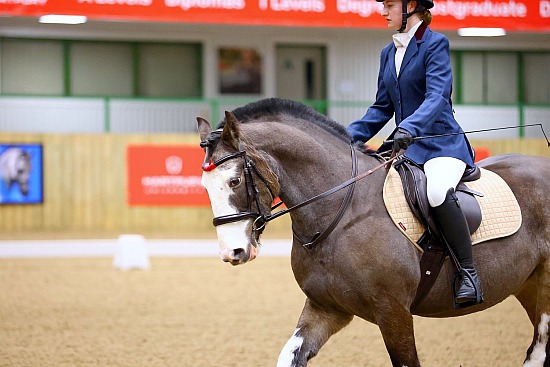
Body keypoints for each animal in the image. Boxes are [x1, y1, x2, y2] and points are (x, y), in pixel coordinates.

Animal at [198, 98, 550, 367]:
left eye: (234, 181)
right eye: (205, 186)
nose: (232, 252)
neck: (338, 212)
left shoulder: (393, 310)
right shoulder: (327, 308)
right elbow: (290, 356)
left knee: (539, 349)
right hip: (527, 285)